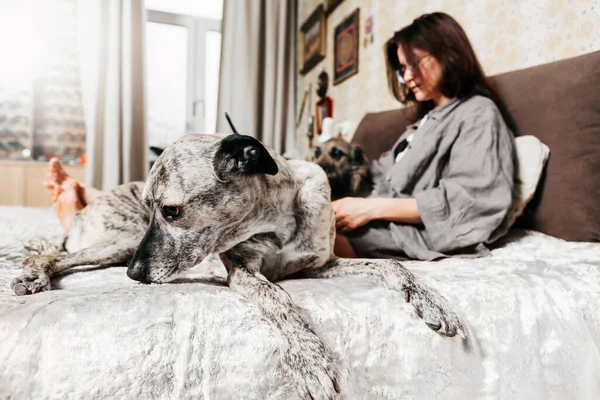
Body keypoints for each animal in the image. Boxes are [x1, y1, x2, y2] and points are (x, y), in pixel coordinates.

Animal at [11, 121, 466, 400]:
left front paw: (431, 301)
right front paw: (311, 361)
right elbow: (280, 301)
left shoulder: (321, 265)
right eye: (150, 206)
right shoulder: (245, 272)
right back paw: (34, 274)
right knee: (55, 255)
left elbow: (392, 265)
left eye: (172, 210)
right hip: (121, 241)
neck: (279, 220)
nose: (134, 275)